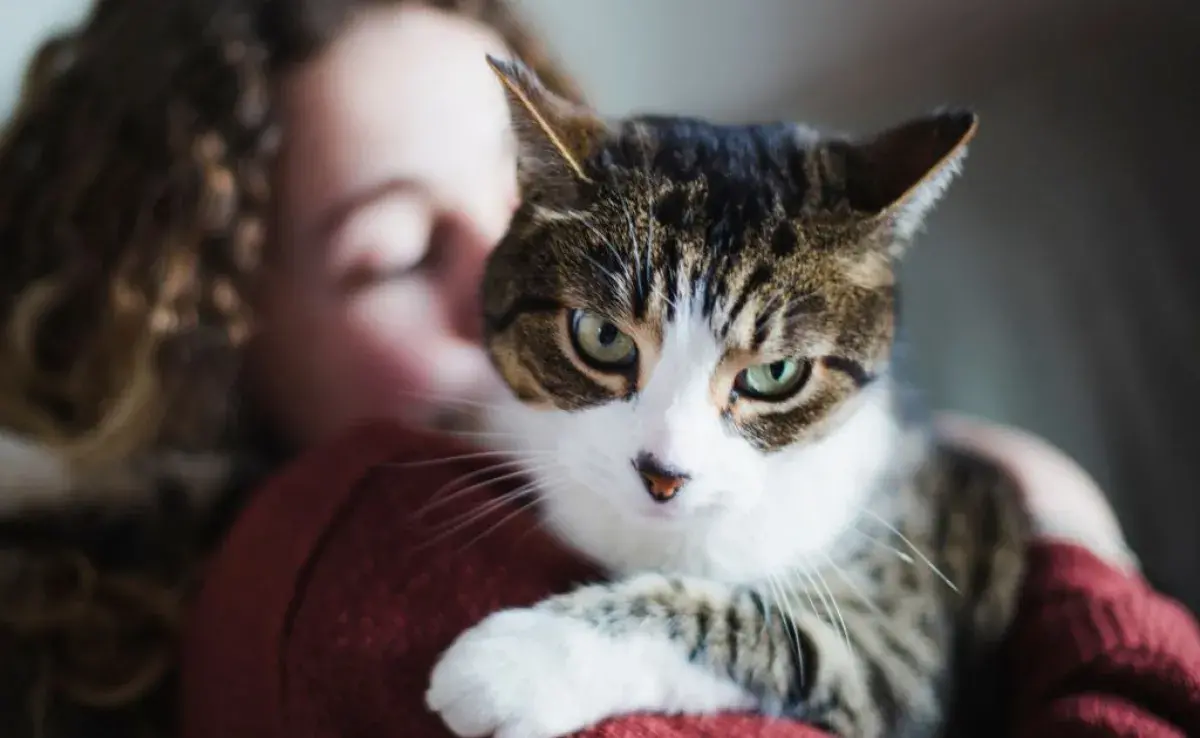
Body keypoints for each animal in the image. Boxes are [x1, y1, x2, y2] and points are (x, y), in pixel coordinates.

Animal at [424, 57, 1032, 738]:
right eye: (603, 337)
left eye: (776, 373)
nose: (663, 475)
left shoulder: (898, 637)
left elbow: (770, 629)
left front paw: (518, 663)